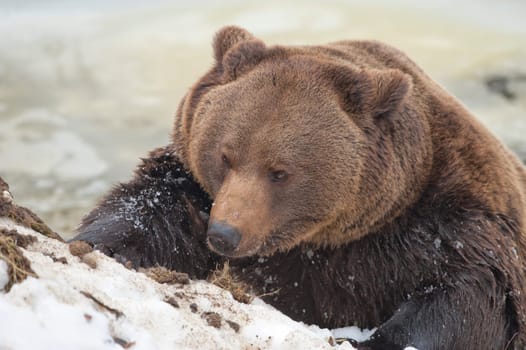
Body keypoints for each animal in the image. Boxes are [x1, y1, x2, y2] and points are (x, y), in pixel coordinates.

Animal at [73, 27, 526, 350]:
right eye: (225, 155)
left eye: (279, 172)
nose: (224, 234)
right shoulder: (194, 184)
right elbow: (151, 209)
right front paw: (103, 244)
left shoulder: (446, 223)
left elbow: (471, 297)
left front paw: (368, 341)